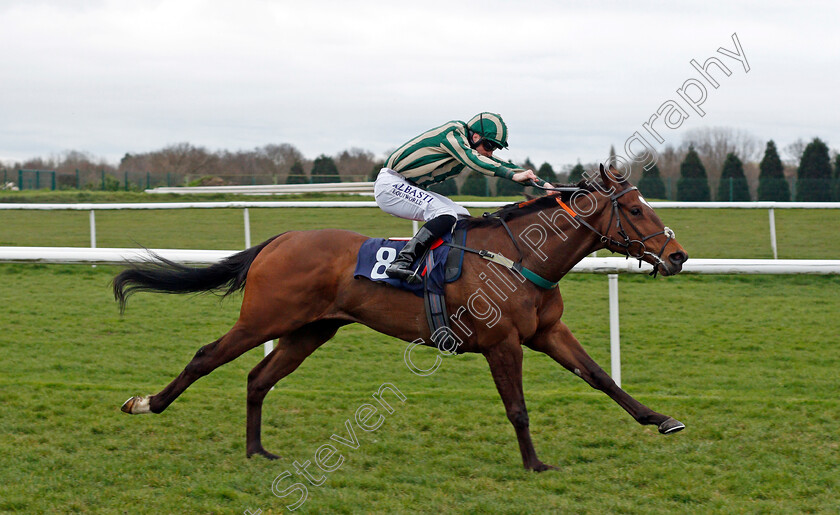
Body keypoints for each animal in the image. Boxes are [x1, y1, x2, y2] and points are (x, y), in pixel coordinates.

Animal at [113, 165, 688, 472]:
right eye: (635, 210)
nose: (678, 256)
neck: (521, 255)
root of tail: (279, 239)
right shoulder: (503, 342)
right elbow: (518, 409)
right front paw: (534, 463)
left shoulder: (547, 332)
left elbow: (601, 377)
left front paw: (661, 419)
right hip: (264, 319)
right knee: (206, 356)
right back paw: (146, 404)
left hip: (311, 330)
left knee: (259, 377)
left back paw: (258, 450)